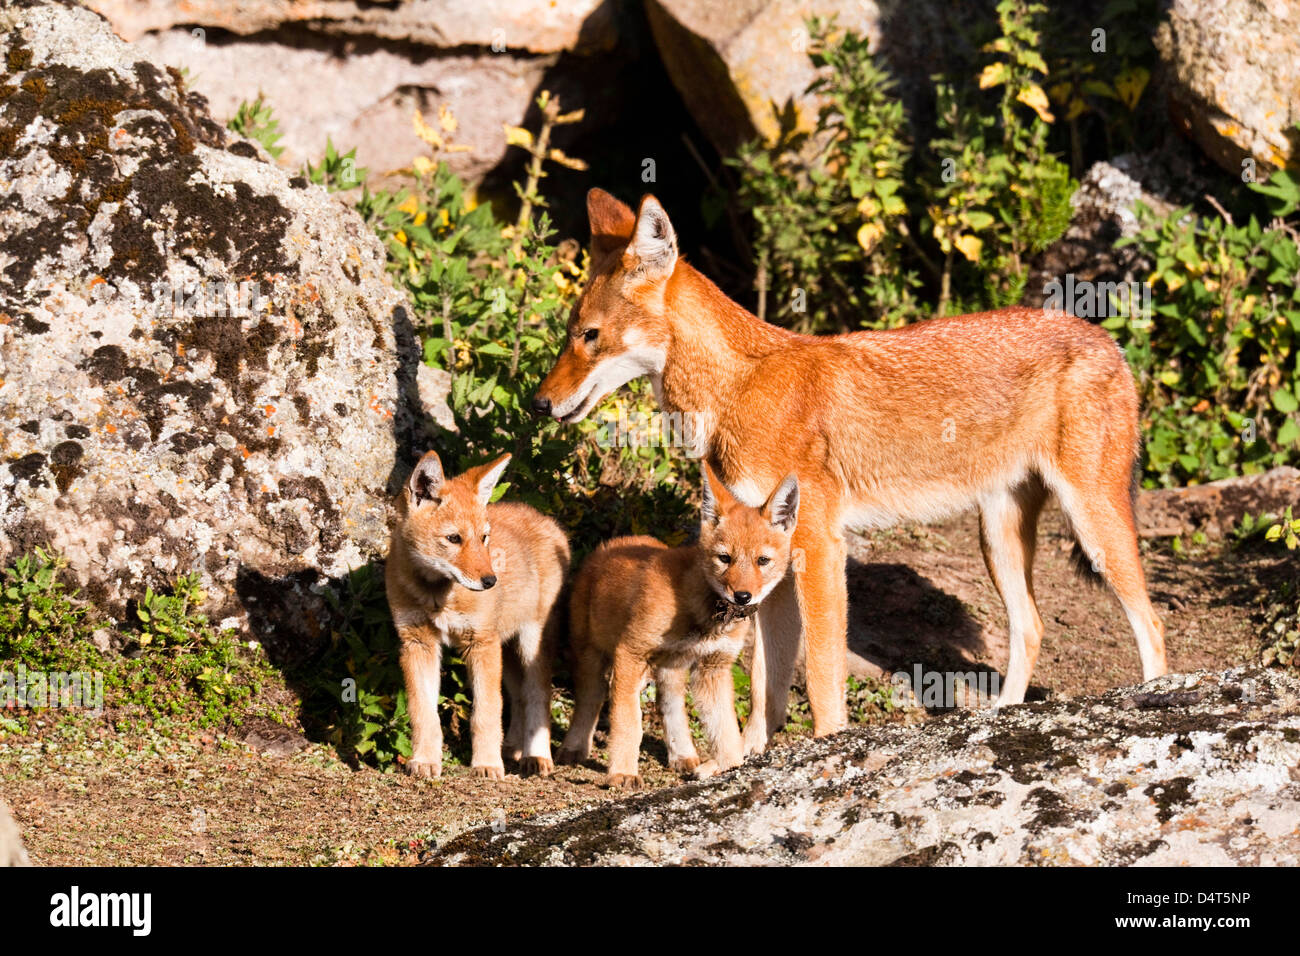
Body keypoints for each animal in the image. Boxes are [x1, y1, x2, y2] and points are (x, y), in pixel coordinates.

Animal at [527, 191, 1170, 749]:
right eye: (568, 335)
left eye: (590, 336)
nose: (537, 403)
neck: (741, 390)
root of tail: (1108, 339)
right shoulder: (766, 561)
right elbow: (766, 689)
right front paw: (750, 758)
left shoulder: (818, 548)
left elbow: (819, 680)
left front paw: (826, 751)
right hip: (998, 539)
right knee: (1032, 628)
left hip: (1094, 528)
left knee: (1153, 626)